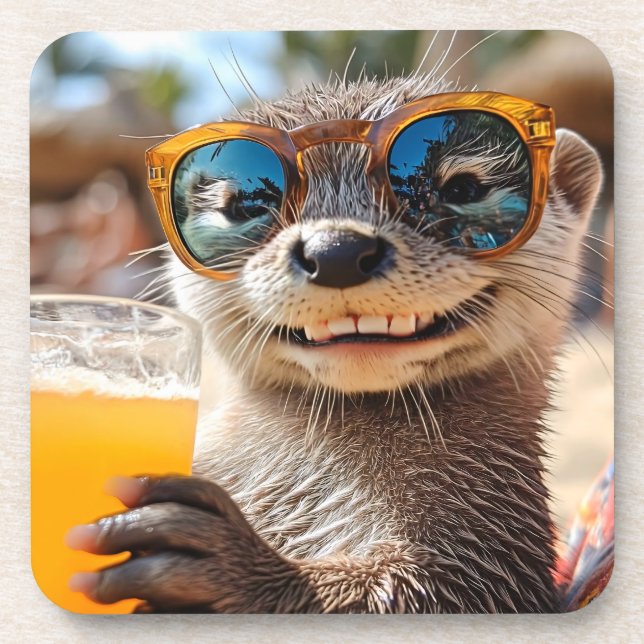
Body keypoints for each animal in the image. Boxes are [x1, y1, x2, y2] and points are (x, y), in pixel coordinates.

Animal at [66, 70, 603, 613]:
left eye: (461, 187)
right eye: (243, 206)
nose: (337, 249)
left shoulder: (492, 559)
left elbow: (415, 592)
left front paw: (233, 564)